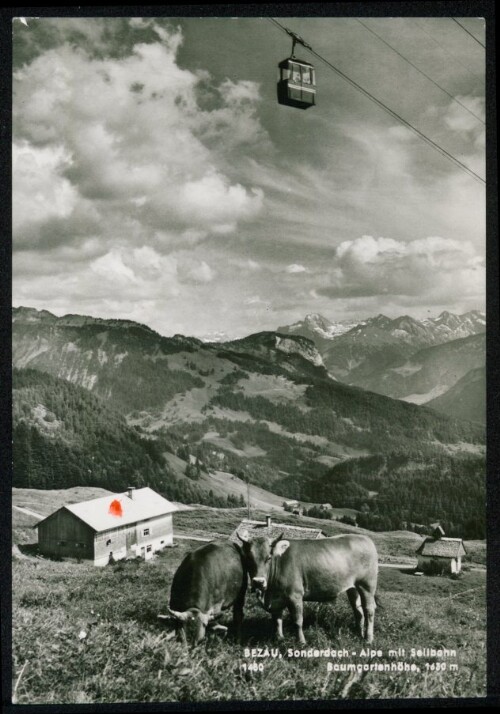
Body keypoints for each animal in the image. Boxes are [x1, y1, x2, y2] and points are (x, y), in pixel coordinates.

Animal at [238, 532, 378, 644]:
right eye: (248, 558)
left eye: (268, 557)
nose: (258, 582)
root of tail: (365, 538)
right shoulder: (276, 600)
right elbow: (277, 620)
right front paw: (279, 638)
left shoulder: (295, 595)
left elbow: (298, 620)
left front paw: (301, 642)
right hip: (353, 588)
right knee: (358, 611)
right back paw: (359, 634)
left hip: (367, 586)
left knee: (369, 610)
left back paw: (368, 639)